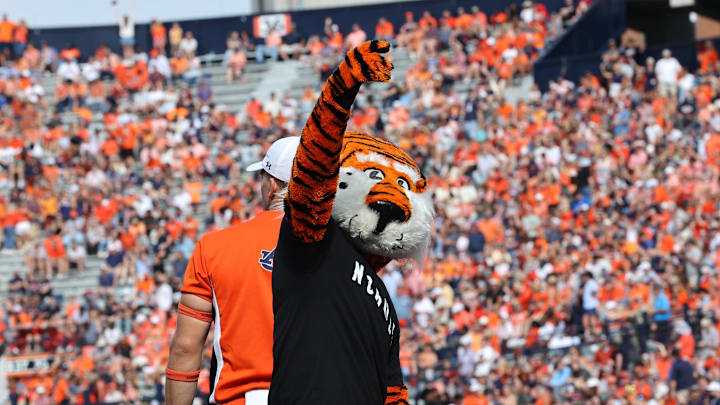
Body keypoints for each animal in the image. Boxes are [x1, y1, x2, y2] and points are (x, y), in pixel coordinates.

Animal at [269, 41, 432, 405]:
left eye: (403, 183)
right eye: (374, 174)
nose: (389, 207)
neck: (361, 254)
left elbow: (393, 382)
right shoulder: (309, 227)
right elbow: (314, 171)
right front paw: (358, 68)